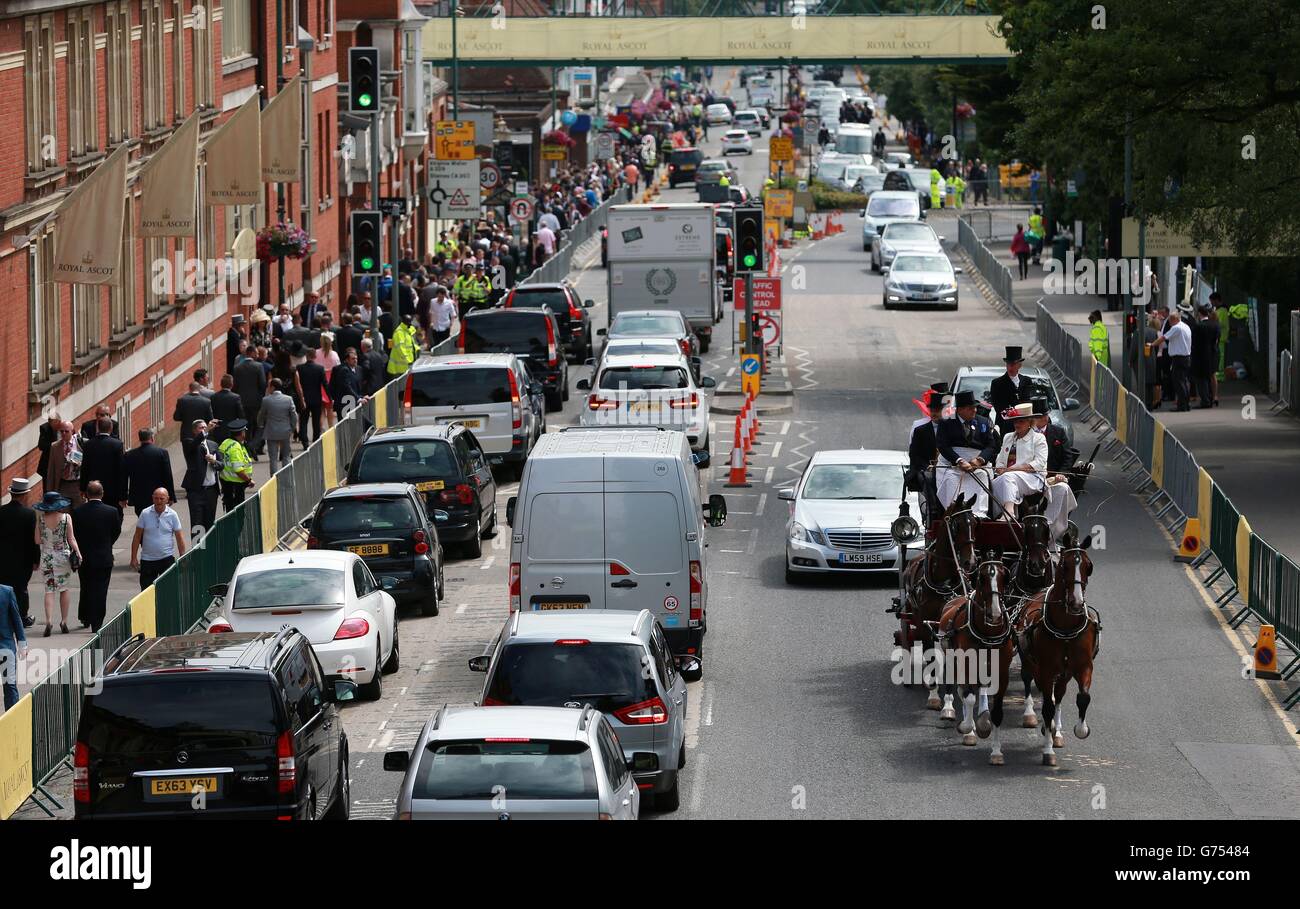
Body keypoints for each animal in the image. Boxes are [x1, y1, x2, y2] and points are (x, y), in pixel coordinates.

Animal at [904, 496, 977, 717]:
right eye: (957, 525)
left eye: (975, 523)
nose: (971, 562)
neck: (943, 580)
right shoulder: (925, 624)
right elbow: (931, 658)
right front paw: (935, 697)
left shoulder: (951, 625)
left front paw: (949, 703)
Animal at [941, 564, 1019, 764]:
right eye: (981, 578)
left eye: (1003, 577)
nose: (995, 614)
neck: (987, 634)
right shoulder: (967, 665)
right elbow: (968, 697)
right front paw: (967, 728)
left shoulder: (1001, 672)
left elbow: (997, 712)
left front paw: (996, 751)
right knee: (962, 690)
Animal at [1013, 530, 1097, 764]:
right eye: (1064, 566)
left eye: (1088, 566)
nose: (1076, 603)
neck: (1066, 629)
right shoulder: (1047, 669)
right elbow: (1047, 706)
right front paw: (1048, 750)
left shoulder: (1083, 666)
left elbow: (1082, 697)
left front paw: (1080, 729)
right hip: (1029, 661)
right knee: (1030, 680)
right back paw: (1033, 717)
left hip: (1064, 672)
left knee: (1058, 694)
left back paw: (1056, 731)